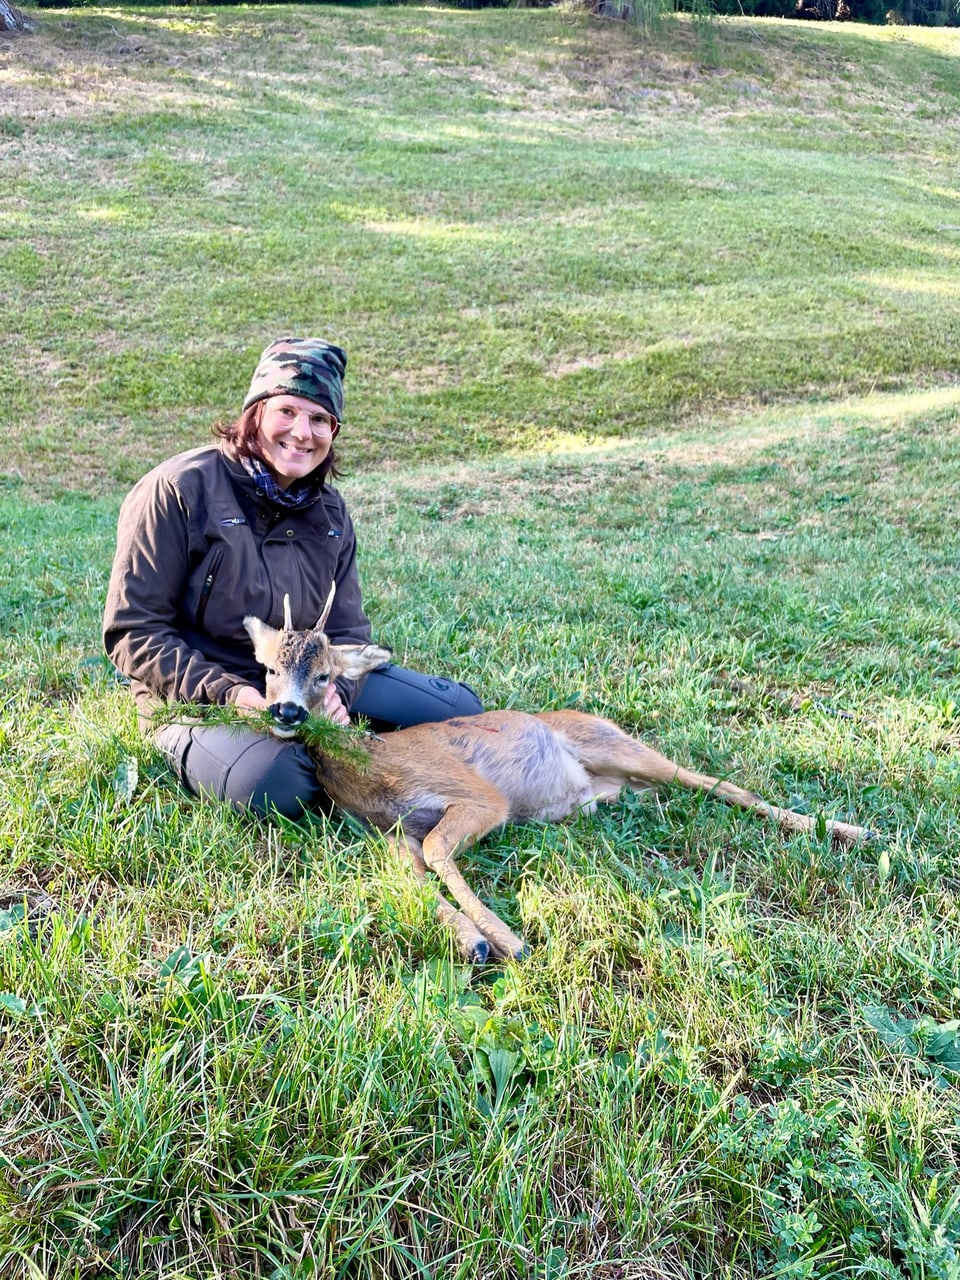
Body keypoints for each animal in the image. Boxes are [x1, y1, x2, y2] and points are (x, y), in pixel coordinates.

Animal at [244, 588, 875, 962]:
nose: (287, 713)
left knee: (720, 784)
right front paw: (472, 940)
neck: (373, 771)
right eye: (269, 668)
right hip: (612, 789)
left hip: (621, 746)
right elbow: (414, 876)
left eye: (325, 675)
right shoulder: (396, 832)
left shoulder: (476, 796)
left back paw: (850, 831)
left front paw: (506, 940)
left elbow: (443, 854)